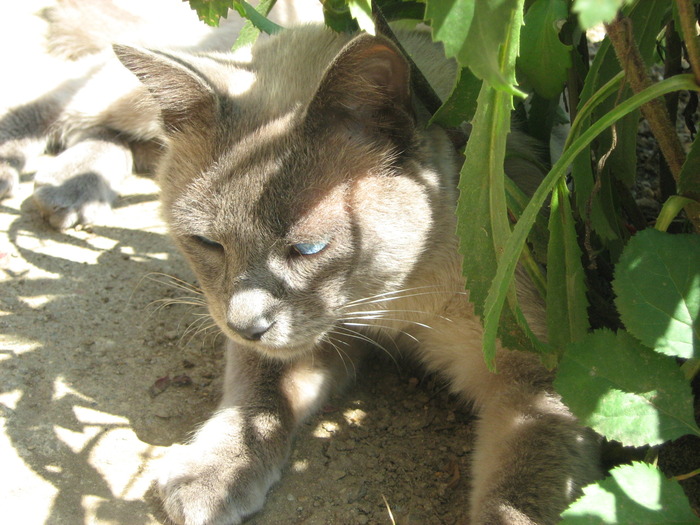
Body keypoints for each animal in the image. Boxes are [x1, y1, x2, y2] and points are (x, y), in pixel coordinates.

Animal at [0, 5, 600, 524]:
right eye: (207, 243)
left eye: (308, 250)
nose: (245, 323)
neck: (388, 306)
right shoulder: (298, 340)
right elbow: (258, 404)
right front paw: (210, 480)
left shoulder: (537, 374)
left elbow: (518, 497)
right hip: (139, 86)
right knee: (66, 104)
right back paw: (39, 182)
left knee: (112, 134)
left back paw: (70, 191)